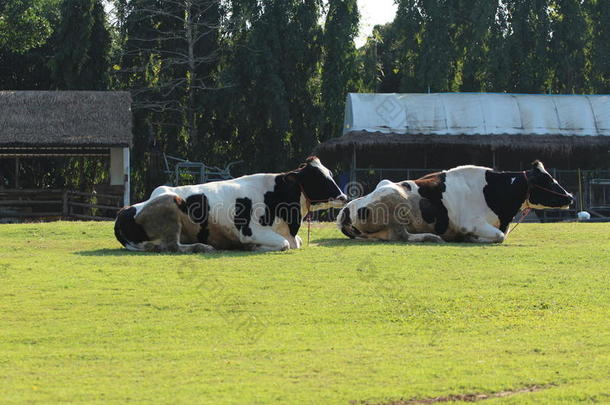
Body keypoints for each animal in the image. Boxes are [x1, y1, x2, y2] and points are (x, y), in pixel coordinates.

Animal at [111, 156, 344, 251]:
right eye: (317, 177)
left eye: (330, 173)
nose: (343, 196)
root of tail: (124, 212)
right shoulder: (251, 231)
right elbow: (284, 245)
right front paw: (253, 247)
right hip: (171, 202)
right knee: (172, 247)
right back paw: (203, 247)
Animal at [338, 160, 568, 243]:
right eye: (548, 179)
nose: (570, 197)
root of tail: (347, 210)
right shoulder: (472, 223)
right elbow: (500, 236)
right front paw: (471, 238)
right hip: (396, 200)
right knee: (402, 236)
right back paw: (431, 237)